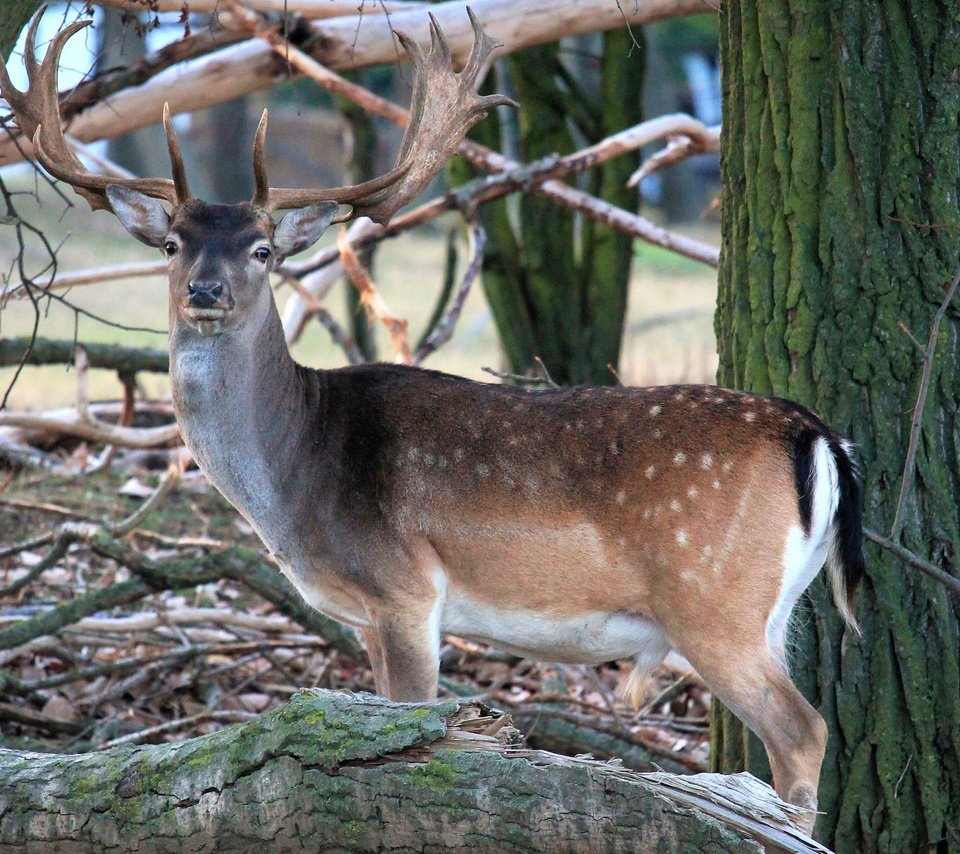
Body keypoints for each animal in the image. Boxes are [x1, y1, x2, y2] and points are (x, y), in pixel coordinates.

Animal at [3, 6, 864, 836]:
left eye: (261, 250)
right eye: (174, 243)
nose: (205, 291)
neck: (295, 474)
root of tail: (816, 434)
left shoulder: (405, 587)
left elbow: (414, 728)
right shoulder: (364, 614)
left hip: (711, 595)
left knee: (804, 729)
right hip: (773, 608)